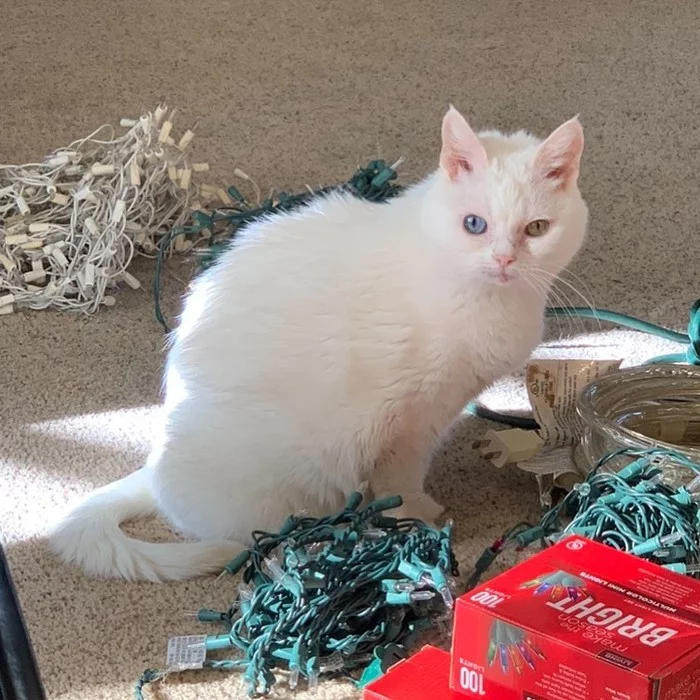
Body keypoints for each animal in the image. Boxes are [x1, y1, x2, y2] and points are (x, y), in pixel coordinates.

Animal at [46, 106, 588, 584]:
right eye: (474, 224)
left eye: (536, 229)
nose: (504, 260)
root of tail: (156, 465)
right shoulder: (409, 424)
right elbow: (401, 484)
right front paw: (419, 518)